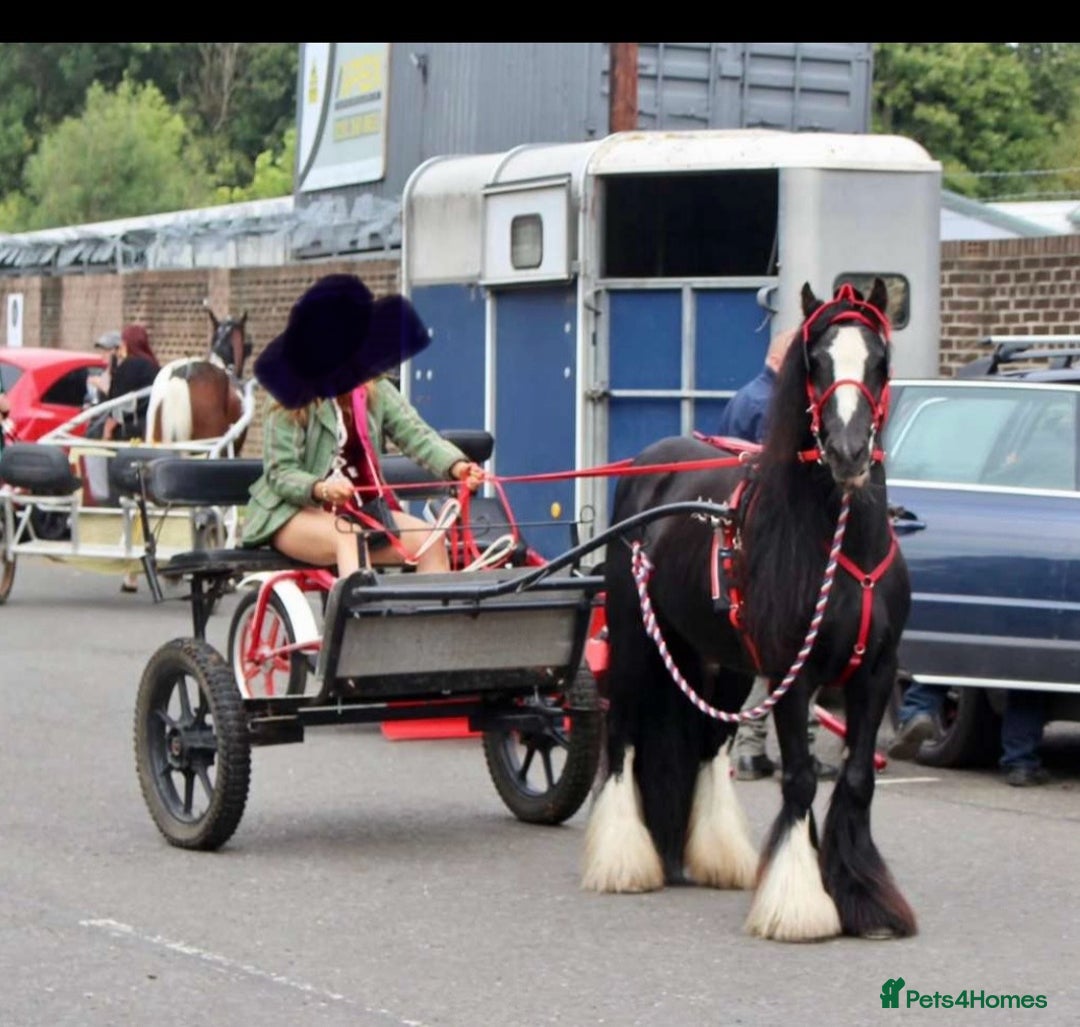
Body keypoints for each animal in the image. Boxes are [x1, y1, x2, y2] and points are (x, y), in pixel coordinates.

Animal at [582, 278, 915, 943]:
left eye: (878, 361)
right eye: (815, 362)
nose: (847, 452)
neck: (843, 547)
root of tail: (647, 468)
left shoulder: (873, 674)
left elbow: (857, 779)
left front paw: (863, 899)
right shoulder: (794, 675)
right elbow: (801, 777)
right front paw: (799, 902)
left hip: (722, 662)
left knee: (710, 745)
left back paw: (717, 857)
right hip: (634, 642)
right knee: (624, 736)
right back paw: (625, 861)